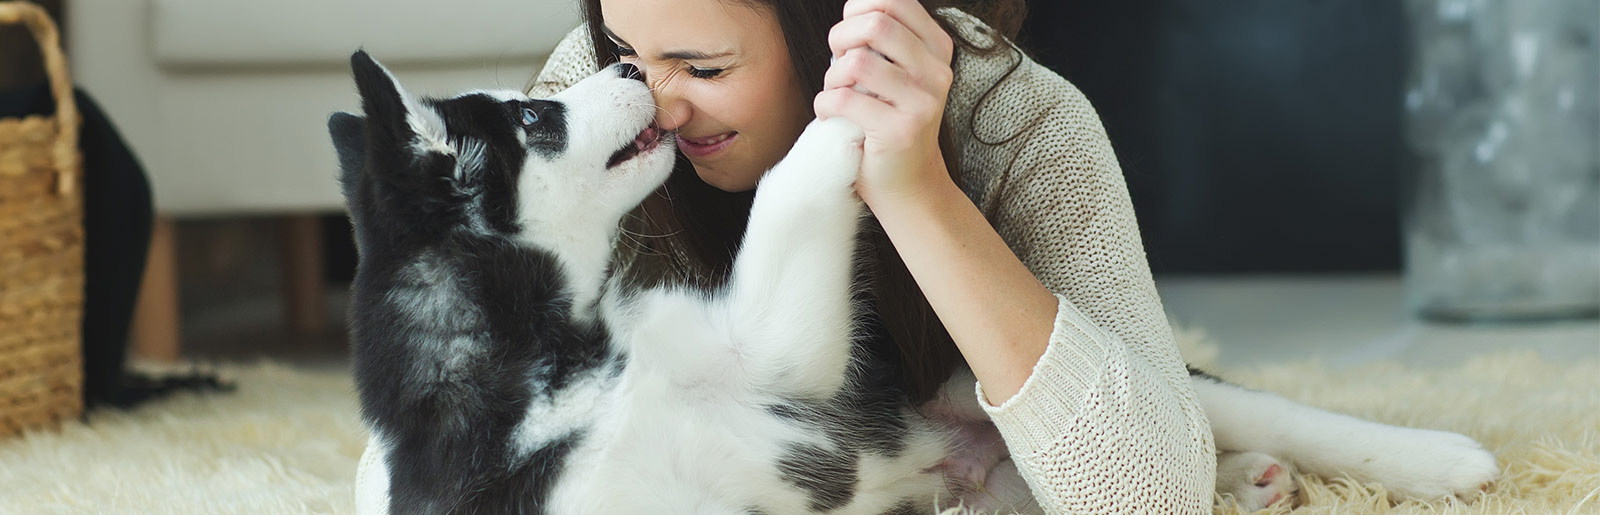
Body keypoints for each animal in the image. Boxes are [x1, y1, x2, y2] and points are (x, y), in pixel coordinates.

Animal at [328, 50, 1497, 511]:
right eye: (537, 116)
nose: (623, 65)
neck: (559, 363)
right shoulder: (768, 354)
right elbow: (794, 179)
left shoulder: (768, 351)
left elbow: (795, 175)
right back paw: (1249, 477)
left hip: (978, 377)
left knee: (1220, 412)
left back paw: (1443, 458)